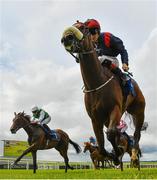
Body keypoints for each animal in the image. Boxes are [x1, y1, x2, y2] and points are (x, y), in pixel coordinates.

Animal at [61, 23, 146, 167]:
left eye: (83, 27)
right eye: (73, 25)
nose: (67, 37)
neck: (96, 84)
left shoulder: (115, 109)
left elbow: (111, 134)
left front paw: (117, 153)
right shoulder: (95, 118)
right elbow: (101, 143)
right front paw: (113, 155)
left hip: (139, 112)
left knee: (136, 134)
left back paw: (134, 156)